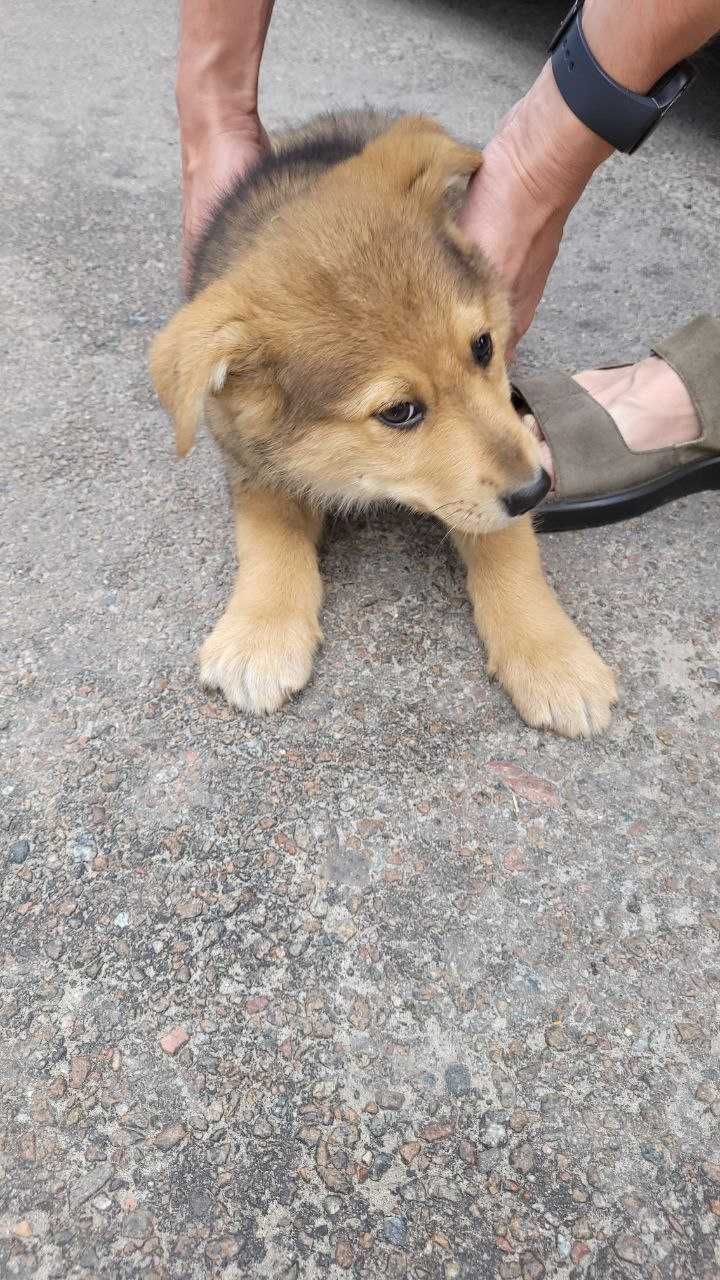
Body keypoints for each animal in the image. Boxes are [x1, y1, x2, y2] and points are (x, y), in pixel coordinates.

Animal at [149, 113, 609, 737]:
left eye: (484, 346)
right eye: (398, 412)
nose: (538, 489)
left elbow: (510, 548)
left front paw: (554, 657)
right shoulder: (252, 461)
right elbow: (269, 536)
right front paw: (261, 634)